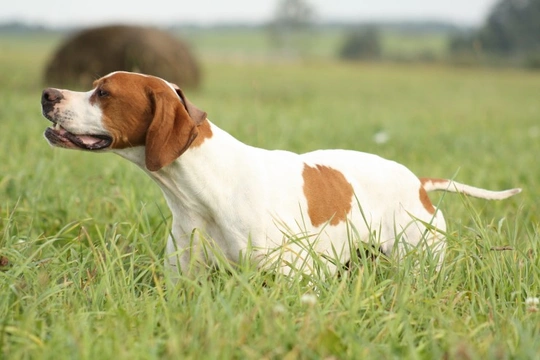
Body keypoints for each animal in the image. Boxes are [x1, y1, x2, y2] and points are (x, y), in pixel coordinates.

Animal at [40, 71, 520, 274]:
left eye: (103, 93)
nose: (47, 94)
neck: (202, 191)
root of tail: (419, 183)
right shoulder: (187, 279)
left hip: (418, 265)